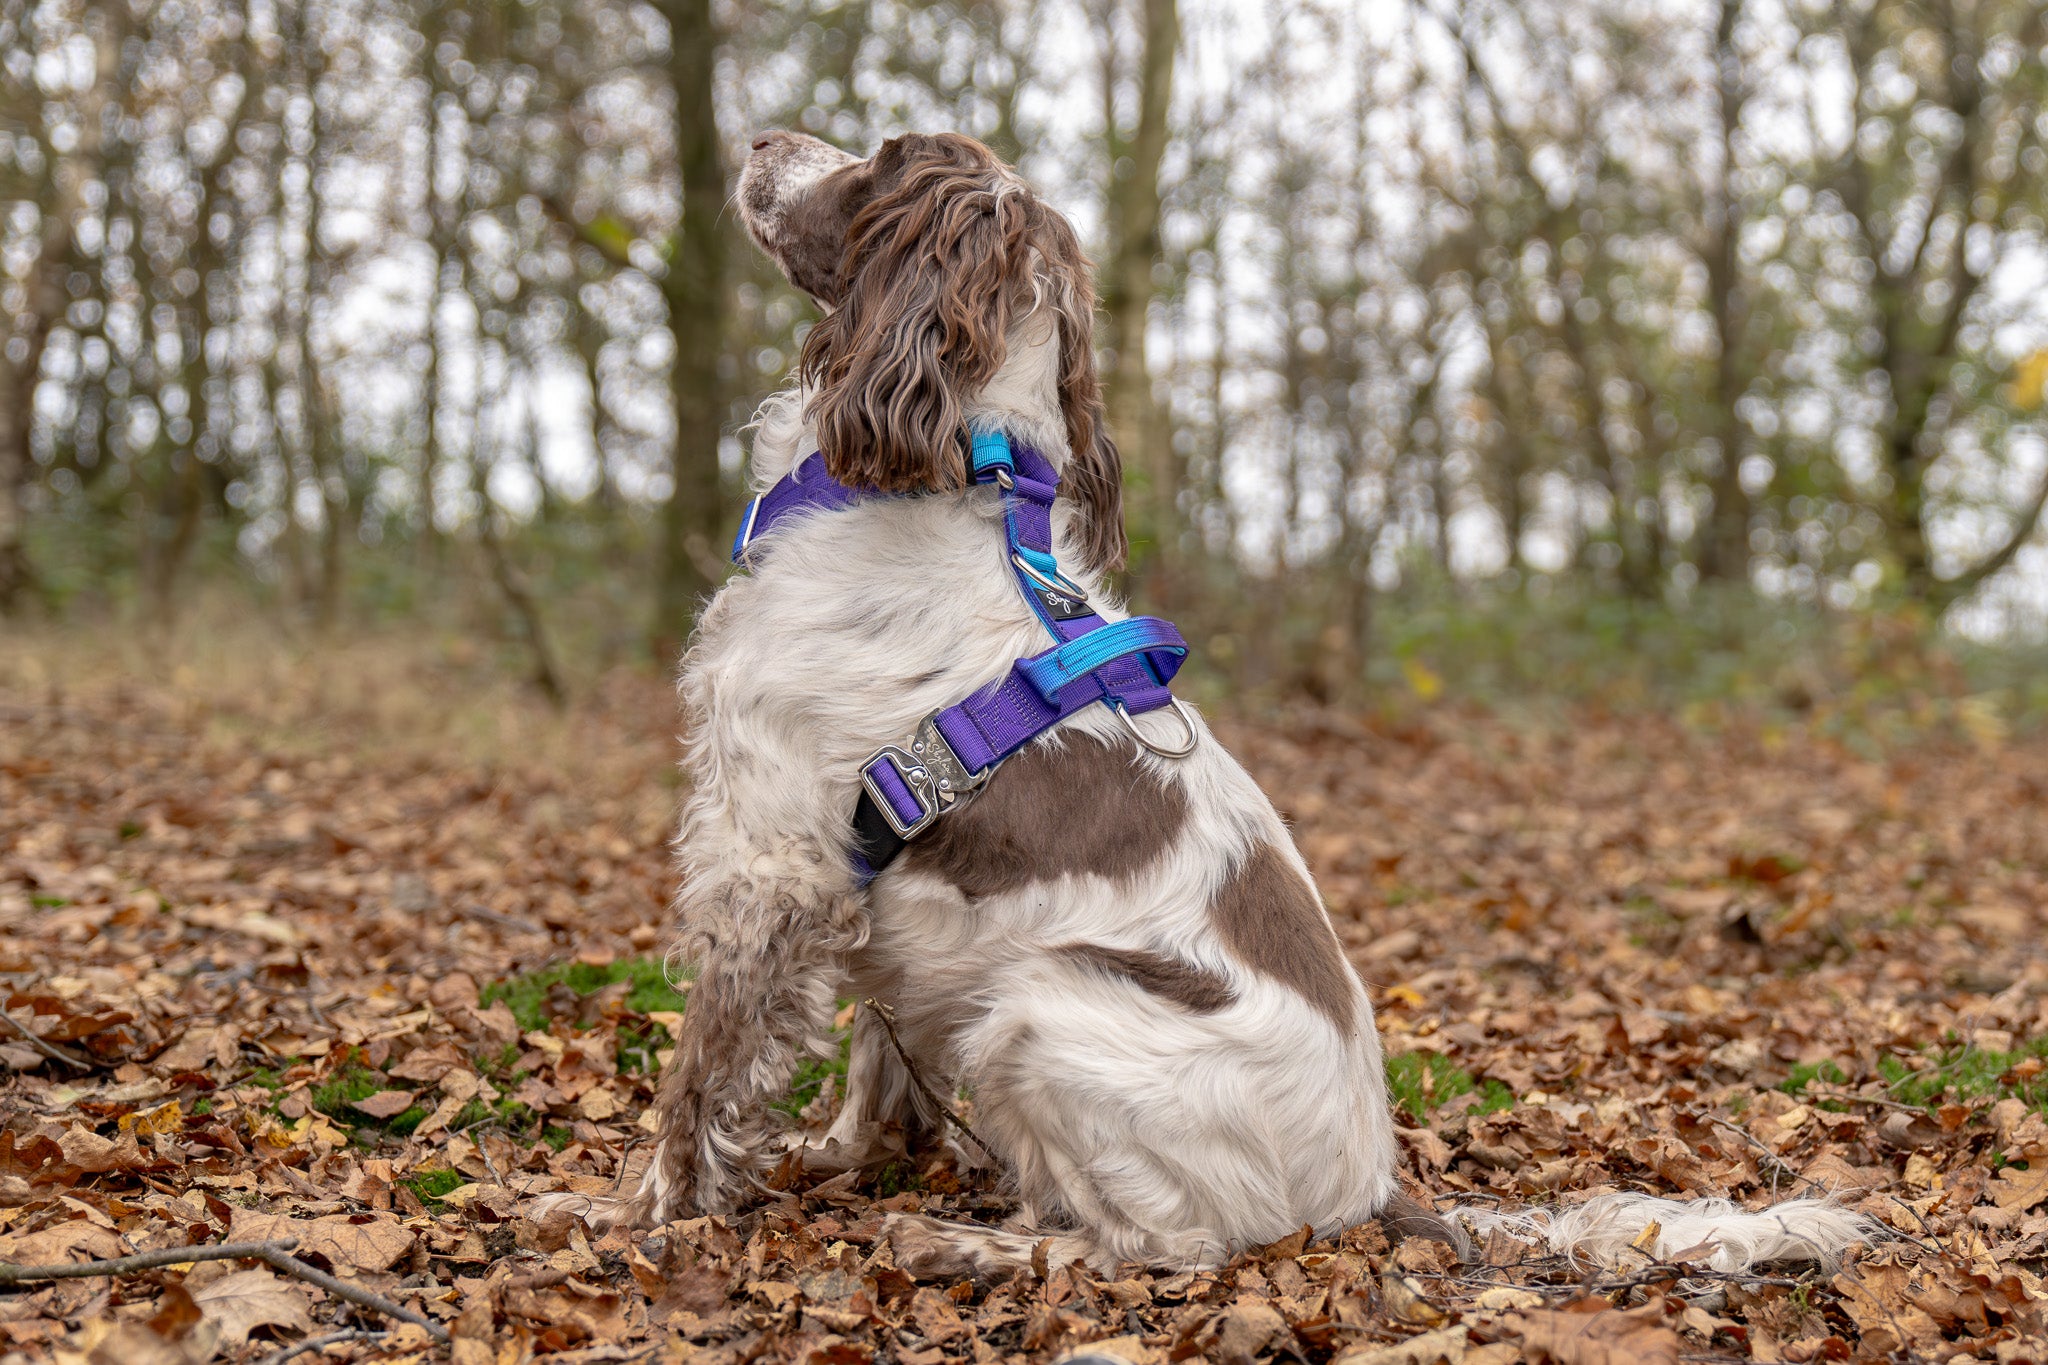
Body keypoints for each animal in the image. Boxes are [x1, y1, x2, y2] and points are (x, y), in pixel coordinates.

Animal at [540, 127, 1875, 1285]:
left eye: (879, 158)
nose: (761, 139)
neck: (946, 473)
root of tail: (1372, 1188)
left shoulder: (769, 858)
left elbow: (700, 1075)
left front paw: (631, 1216)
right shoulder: (873, 895)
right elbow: (877, 1066)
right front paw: (831, 1164)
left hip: (1041, 1008)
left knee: (1164, 1249)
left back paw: (959, 1247)